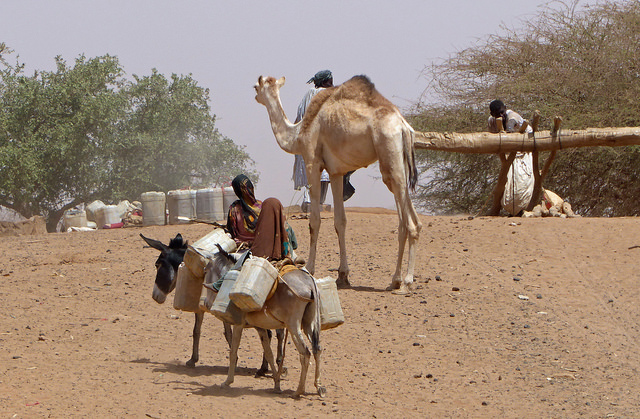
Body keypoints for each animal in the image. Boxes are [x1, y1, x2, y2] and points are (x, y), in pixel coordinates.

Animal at [252, 74, 422, 294]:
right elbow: (340, 221)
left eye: (257, 86)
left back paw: (406, 282)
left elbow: (315, 220)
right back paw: (395, 280)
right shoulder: (336, 172)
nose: (255, 95)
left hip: (389, 155)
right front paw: (342, 275)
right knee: (408, 220)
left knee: (408, 222)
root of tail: (403, 126)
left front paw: (309, 268)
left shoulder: (312, 163)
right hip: (399, 161)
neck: (298, 133)